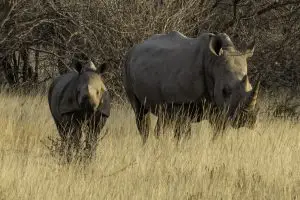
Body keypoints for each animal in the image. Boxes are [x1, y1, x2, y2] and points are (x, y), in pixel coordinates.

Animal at [123, 30, 260, 144]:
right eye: (225, 91)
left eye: (250, 86)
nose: (246, 120)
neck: (212, 62)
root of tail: (135, 48)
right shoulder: (180, 101)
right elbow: (183, 133)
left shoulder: (219, 107)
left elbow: (218, 132)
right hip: (127, 65)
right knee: (140, 113)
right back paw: (146, 145)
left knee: (163, 115)